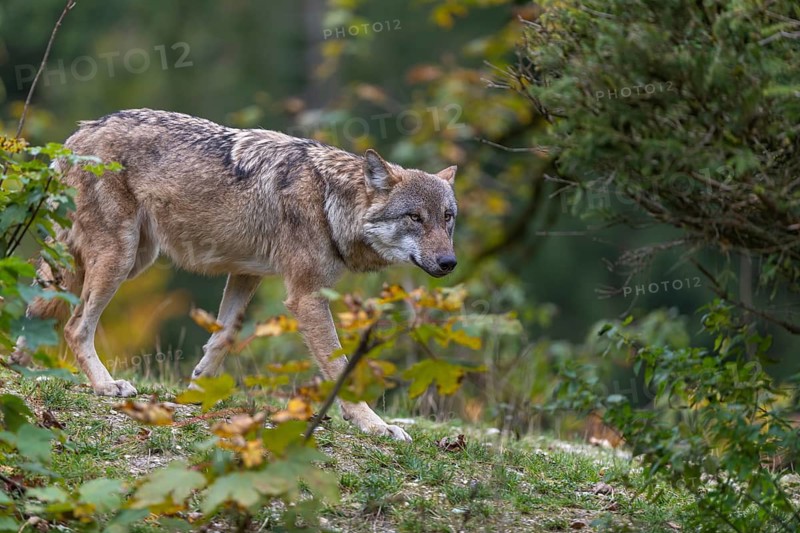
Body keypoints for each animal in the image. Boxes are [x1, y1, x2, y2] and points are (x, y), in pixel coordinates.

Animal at [16, 108, 458, 441]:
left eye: (447, 218)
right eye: (415, 217)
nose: (450, 262)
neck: (330, 202)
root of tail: (76, 136)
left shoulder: (246, 275)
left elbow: (222, 339)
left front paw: (195, 394)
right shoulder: (306, 296)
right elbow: (340, 369)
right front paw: (376, 425)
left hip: (123, 259)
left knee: (39, 309)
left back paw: (18, 362)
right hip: (119, 260)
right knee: (75, 328)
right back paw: (106, 385)